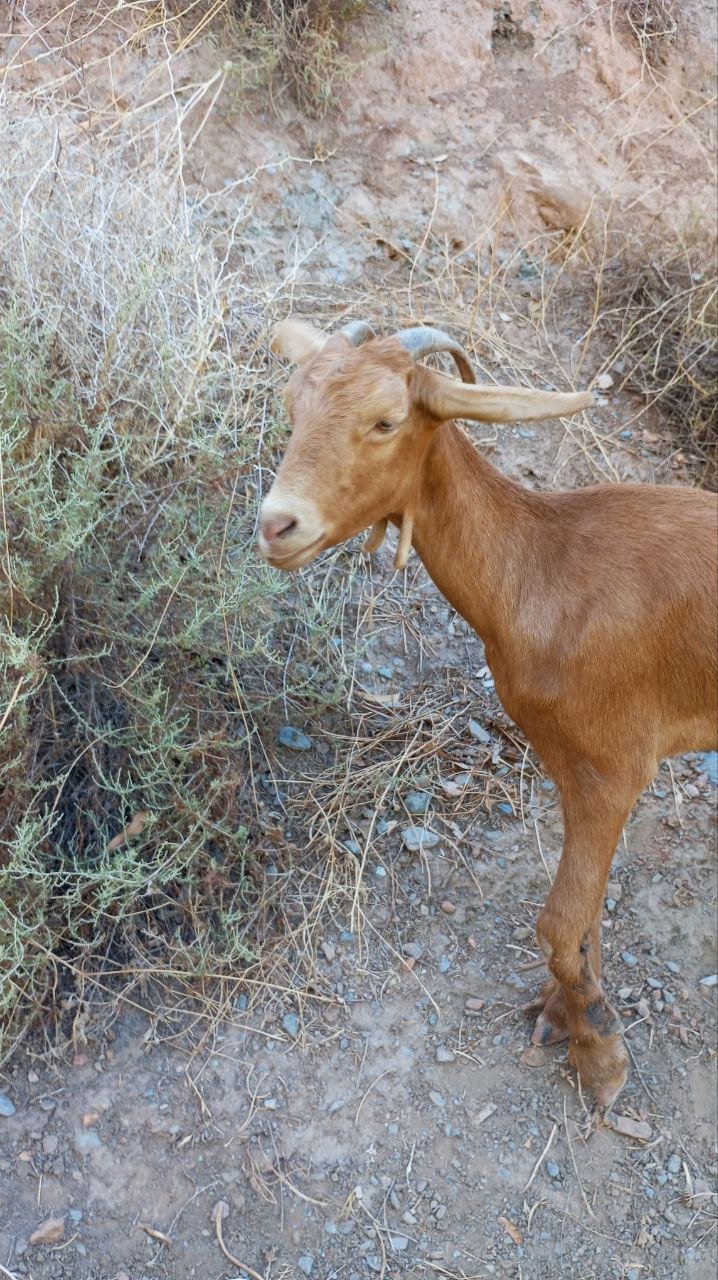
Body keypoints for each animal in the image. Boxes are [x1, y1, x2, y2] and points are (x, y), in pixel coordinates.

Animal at [257, 314, 716, 1105]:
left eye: (386, 421)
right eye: (294, 407)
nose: (277, 525)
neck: (547, 570)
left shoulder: (616, 767)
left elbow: (558, 924)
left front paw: (601, 1051)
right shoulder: (572, 765)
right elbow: (585, 916)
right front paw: (567, 1014)